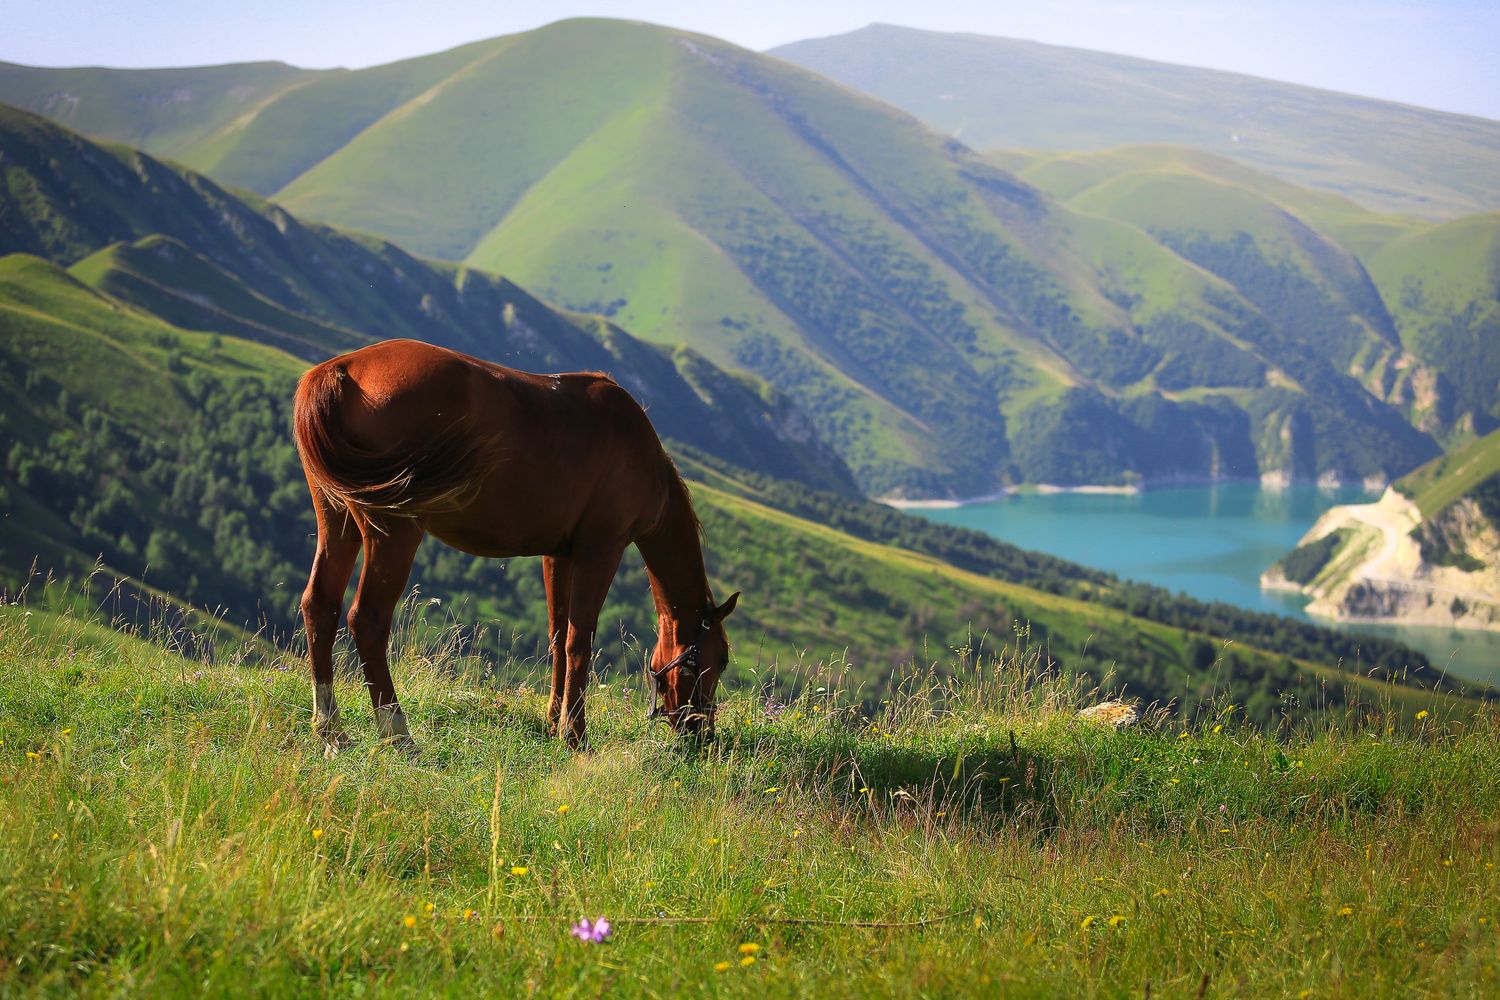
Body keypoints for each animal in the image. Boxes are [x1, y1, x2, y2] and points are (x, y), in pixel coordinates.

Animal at [292, 338, 738, 749]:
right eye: (721, 659)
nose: (703, 735)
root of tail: (341, 370)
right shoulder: (601, 550)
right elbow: (580, 641)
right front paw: (575, 736)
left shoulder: (559, 555)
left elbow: (559, 638)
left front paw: (554, 722)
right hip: (394, 532)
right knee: (367, 619)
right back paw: (399, 734)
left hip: (337, 517)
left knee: (321, 605)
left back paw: (330, 730)